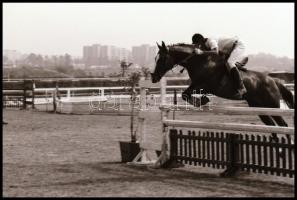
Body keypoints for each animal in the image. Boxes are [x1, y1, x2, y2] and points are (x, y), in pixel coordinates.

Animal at [151, 41, 292, 172]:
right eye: (155, 58)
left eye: (162, 59)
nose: (154, 77)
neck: (198, 62)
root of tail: (274, 80)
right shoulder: (196, 85)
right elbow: (185, 94)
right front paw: (202, 101)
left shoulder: (206, 85)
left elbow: (187, 94)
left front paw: (202, 101)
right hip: (259, 108)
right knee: (272, 126)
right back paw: (280, 151)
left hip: (272, 106)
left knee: (283, 125)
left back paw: (289, 147)